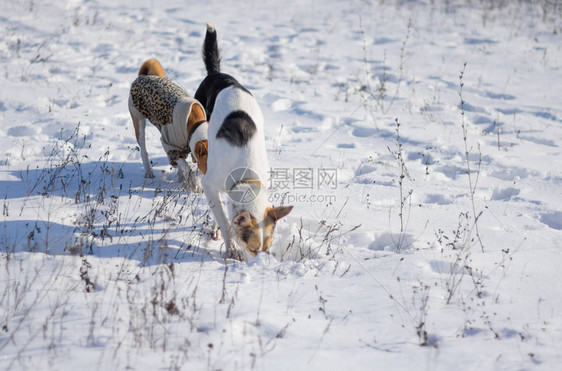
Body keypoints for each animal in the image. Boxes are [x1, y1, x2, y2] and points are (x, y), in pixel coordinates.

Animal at [127, 60, 208, 190]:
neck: (194, 122)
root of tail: (143, 76)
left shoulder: (183, 147)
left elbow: (182, 167)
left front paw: (182, 181)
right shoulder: (170, 145)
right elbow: (185, 166)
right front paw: (193, 183)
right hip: (138, 121)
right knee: (144, 151)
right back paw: (149, 173)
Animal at [194, 23, 290, 260]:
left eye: (266, 247)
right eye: (252, 248)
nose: (261, 264)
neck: (246, 174)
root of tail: (217, 74)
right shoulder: (210, 184)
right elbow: (224, 219)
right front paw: (231, 247)